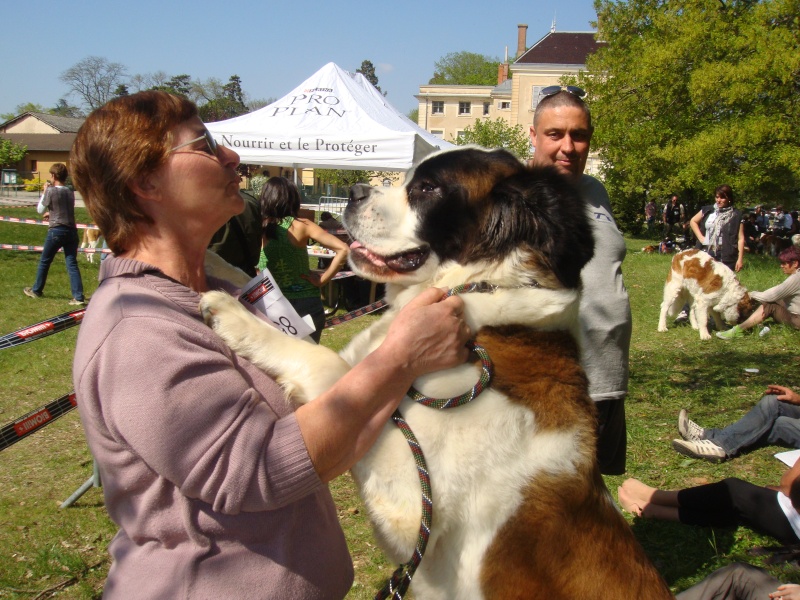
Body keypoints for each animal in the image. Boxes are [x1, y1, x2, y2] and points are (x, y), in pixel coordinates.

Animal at [202, 146, 676, 600]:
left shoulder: (409, 499)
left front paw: (233, 316)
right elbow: (253, 282)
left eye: (427, 189)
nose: (353, 191)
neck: (474, 295)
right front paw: (213, 264)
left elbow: (328, 364)